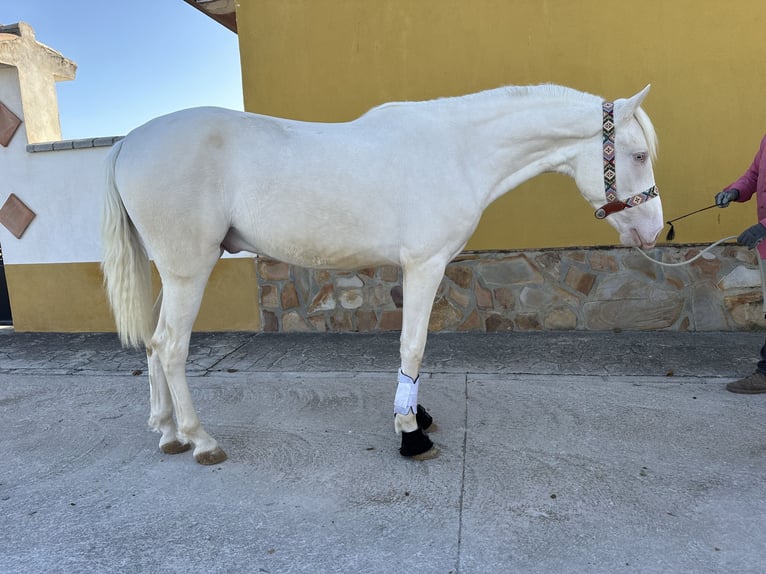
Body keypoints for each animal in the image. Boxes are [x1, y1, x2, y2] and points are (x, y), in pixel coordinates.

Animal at [102, 83, 664, 466]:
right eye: (638, 155)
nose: (655, 230)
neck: (458, 151)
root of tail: (128, 141)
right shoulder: (425, 263)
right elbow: (412, 345)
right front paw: (411, 432)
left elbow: (414, 347)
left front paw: (415, 414)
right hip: (189, 270)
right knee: (171, 346)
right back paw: (201, 440)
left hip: (172, 272)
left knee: (153, 342)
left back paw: (168, 432)